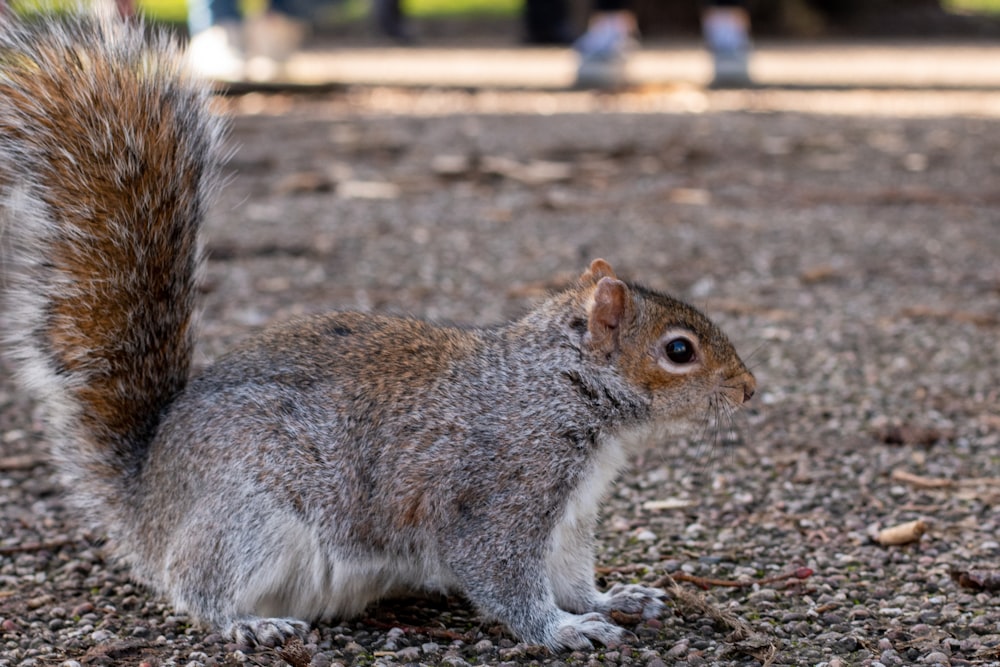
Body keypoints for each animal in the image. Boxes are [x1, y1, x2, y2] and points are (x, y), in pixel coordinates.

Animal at [0, 10, 752, 652]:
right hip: (246, 517)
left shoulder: (570, 516)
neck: (556, 386)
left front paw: (611, 599)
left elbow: (569, 573)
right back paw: (250, 622)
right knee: (196, 585)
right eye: (678, 350)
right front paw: (562, 630)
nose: (748, 390)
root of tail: (148, 502)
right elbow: (503, 576)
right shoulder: (501, 491)